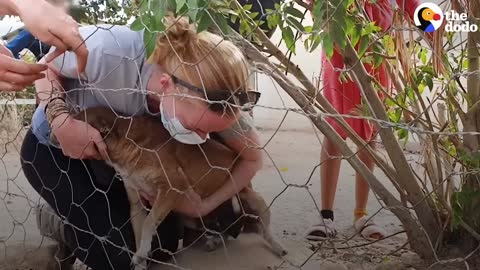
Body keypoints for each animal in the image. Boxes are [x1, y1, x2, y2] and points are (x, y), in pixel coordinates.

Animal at [70, 106, 288, 268]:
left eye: (76, 119)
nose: (59, 131)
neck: (129, 142)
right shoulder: (136, 203)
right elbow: (140, 231)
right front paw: (140, 257)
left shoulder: (171, 189)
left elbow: (149, 222)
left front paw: (141, 253)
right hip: (191, 219)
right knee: (219, 231)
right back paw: (214, 239)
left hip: (252, 197)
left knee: (263, 228)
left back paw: (276, 245)